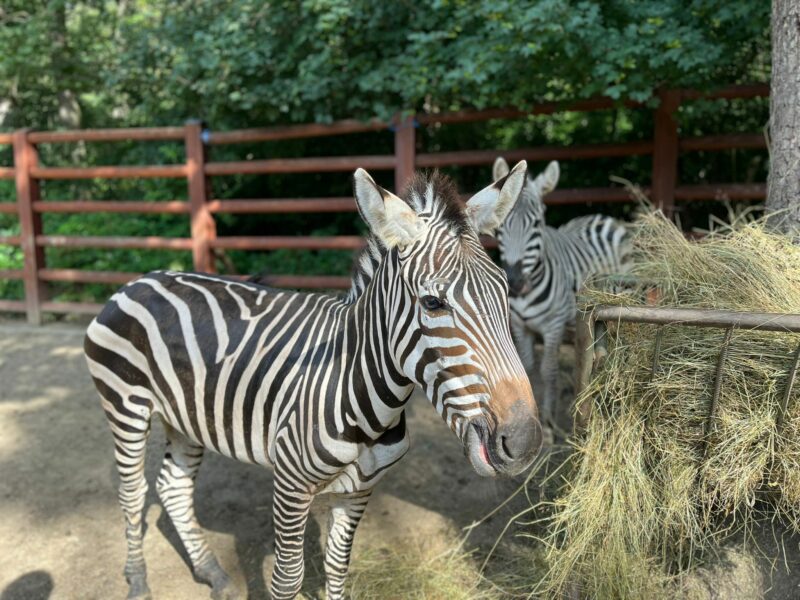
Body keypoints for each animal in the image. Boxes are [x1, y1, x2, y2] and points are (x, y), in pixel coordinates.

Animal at [83, 163, 544, 600]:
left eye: (505, 294)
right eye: (433, 303)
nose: (523, 442)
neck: (362, 393)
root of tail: (139, 280)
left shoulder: (359, 490)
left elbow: (338, 568)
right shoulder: (289, 485)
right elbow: (288, 579)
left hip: (185, 417)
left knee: (173, 487)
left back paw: (213, 574)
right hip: (125, 406)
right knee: (133, 493)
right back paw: (138, 582)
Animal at [490, 157, 628, 424]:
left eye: (536, 224)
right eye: (500, 227)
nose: (515, 282)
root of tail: (599, 216)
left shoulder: (552, 326)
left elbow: (548, 370)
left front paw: (549, 420)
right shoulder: (520, 326)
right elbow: (528, 369)